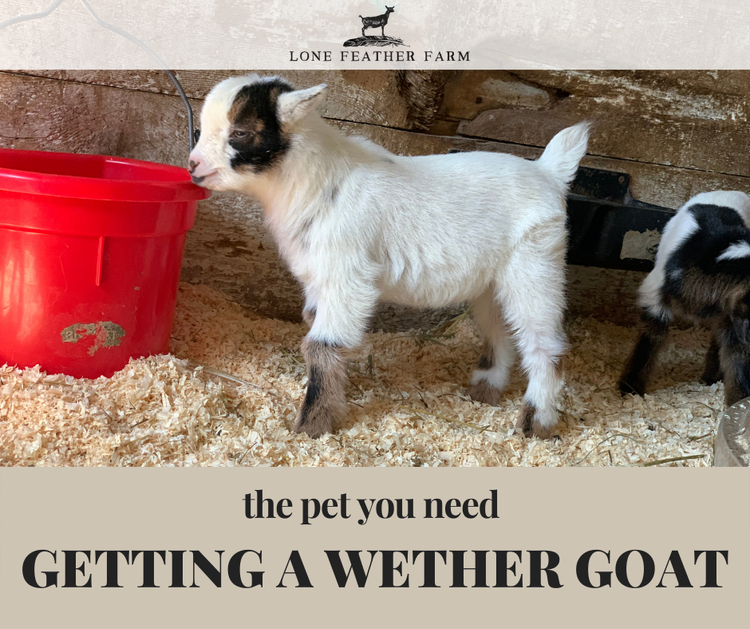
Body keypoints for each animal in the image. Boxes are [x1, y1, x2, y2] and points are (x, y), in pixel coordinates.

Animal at [187, 74, 590, 440]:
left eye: (240, 132)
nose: (193, 166)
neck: (316, 179)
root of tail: (548, 171)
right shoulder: (319, 279)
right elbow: (316, 327)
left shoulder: (347, 276)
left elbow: (320, 346)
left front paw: (311, 424)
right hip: (493, 283)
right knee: (502, 331)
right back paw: (484, 390)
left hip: (536, 265)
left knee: (544, 345)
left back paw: (536, 422)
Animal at [619, 191, 750, 407]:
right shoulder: (655, 293)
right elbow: (650, 336)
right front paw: (629, 389)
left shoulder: (731, 316)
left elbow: (736, 355)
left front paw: (738, 402)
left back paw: (711, 377)